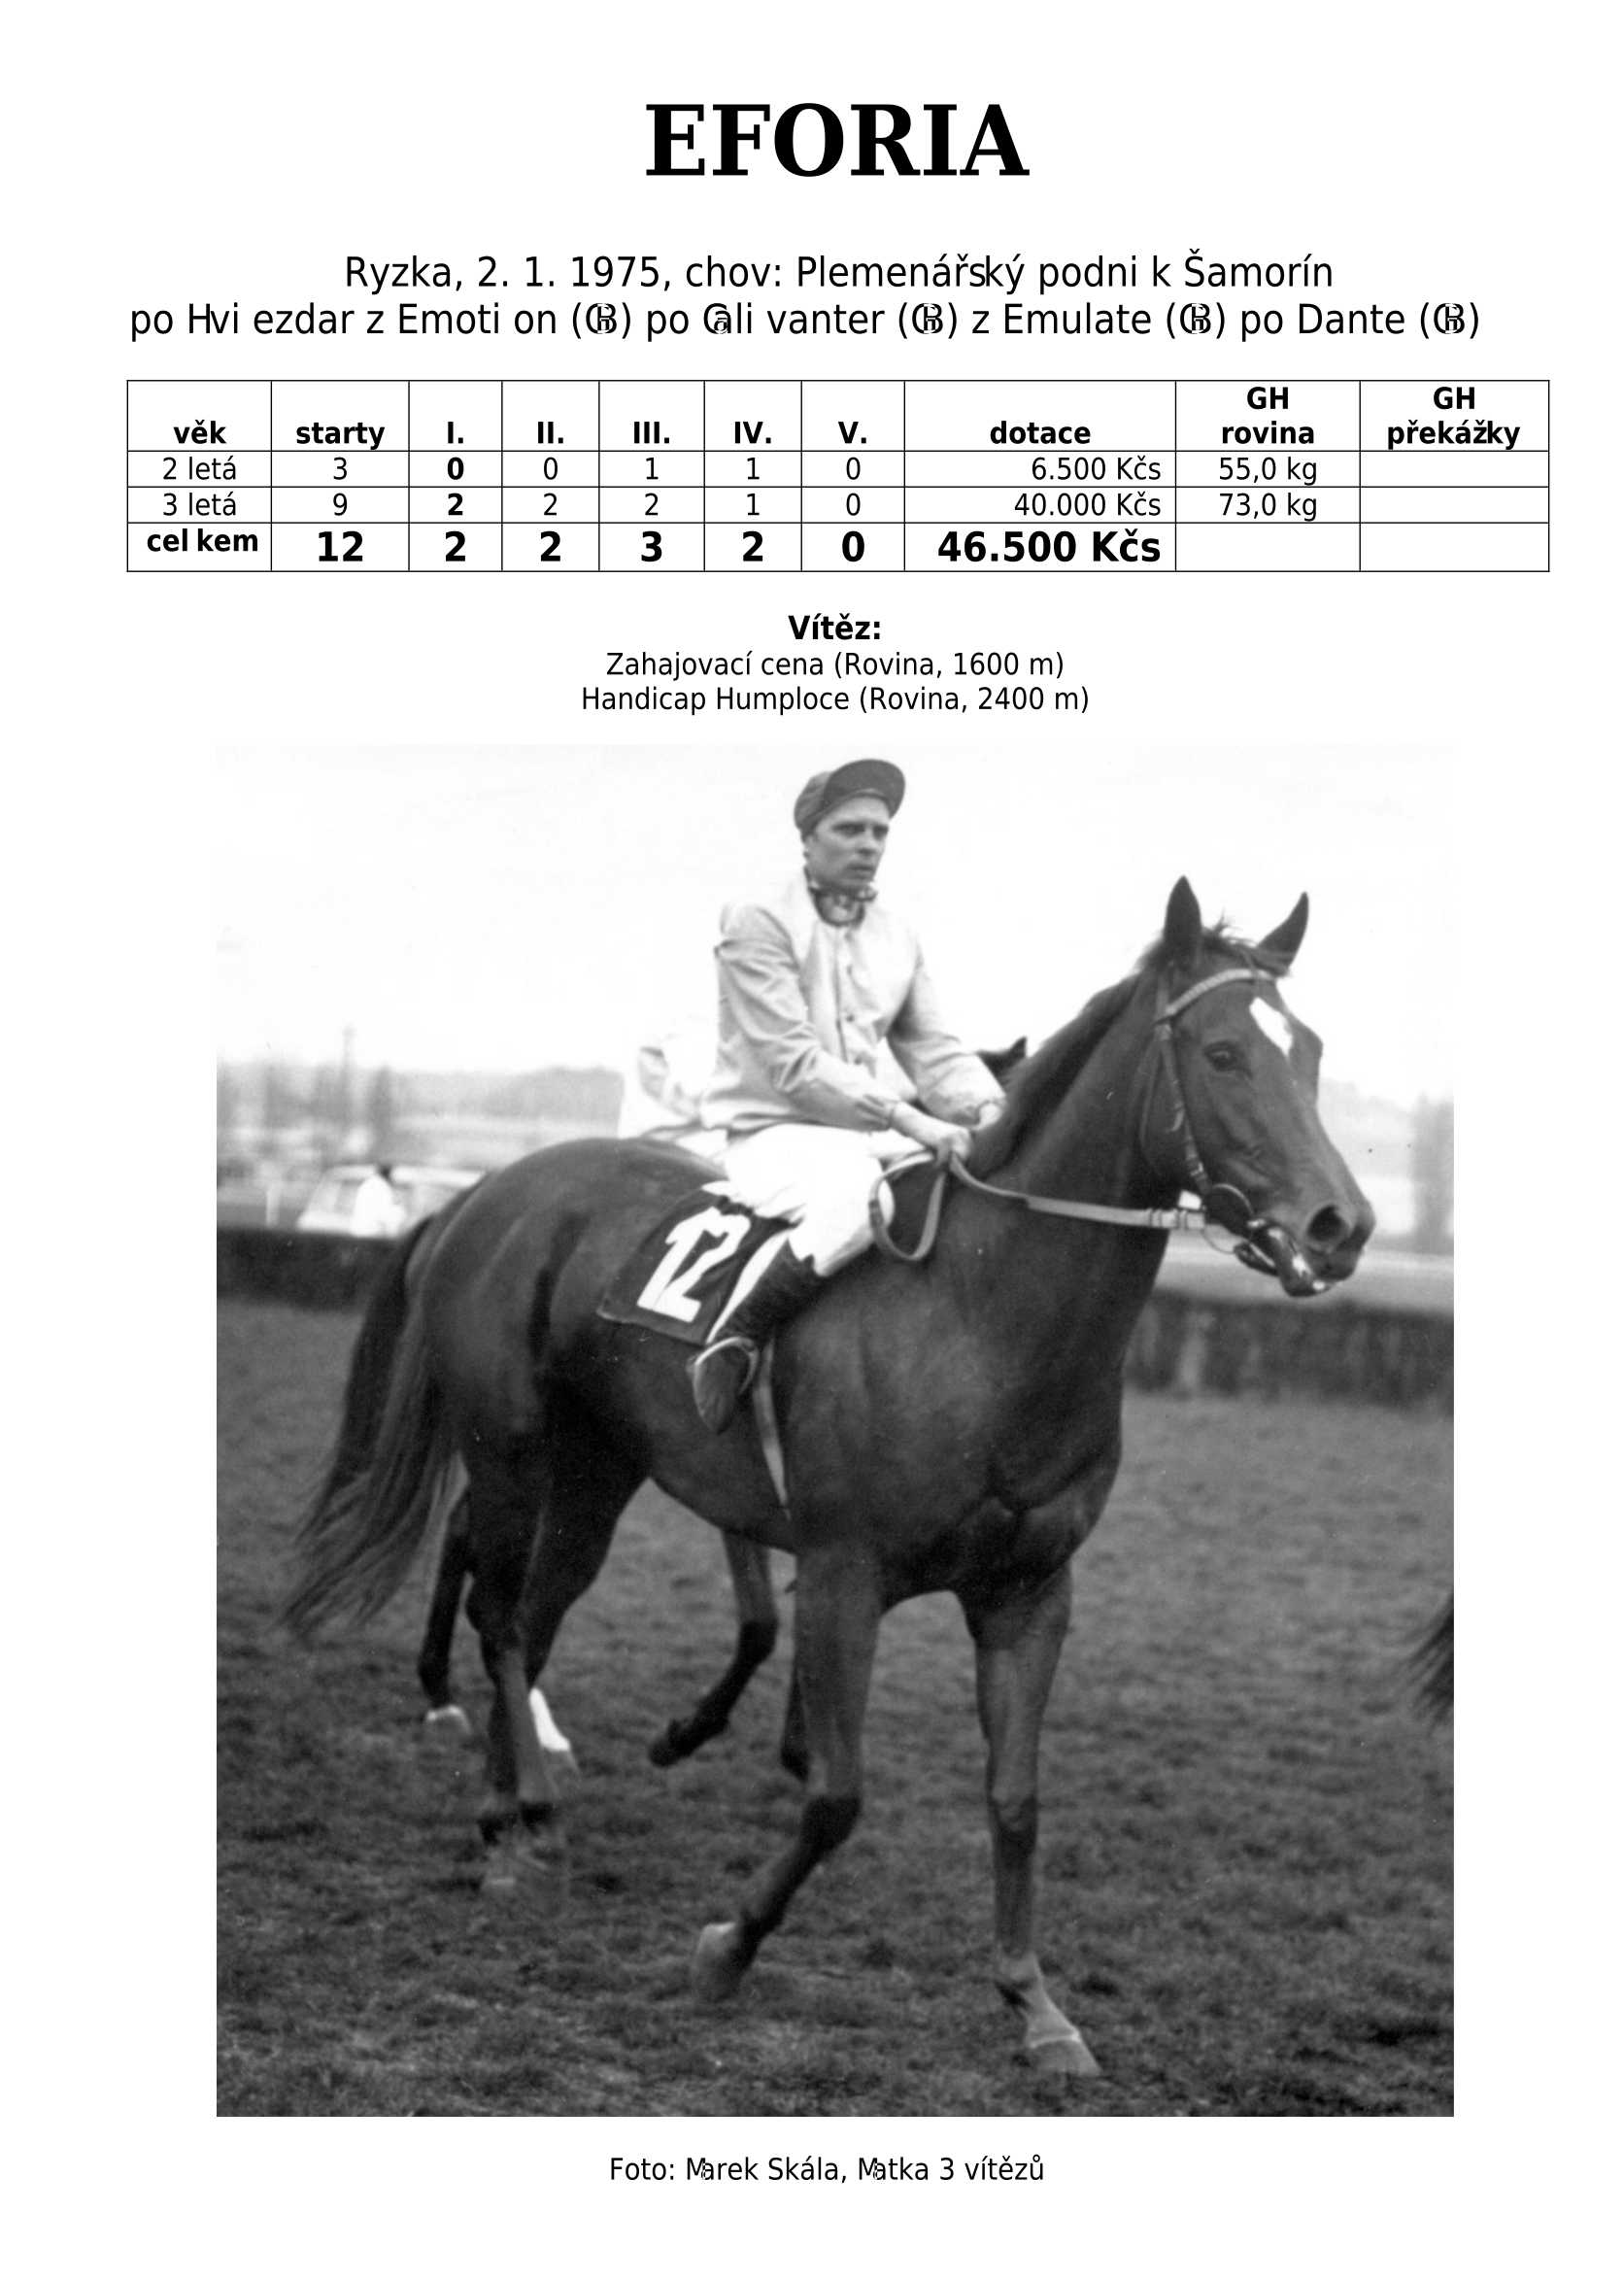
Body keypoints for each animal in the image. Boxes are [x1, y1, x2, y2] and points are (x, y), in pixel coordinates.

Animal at [285, 881, 1372, 2075]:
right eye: (1224, 1053)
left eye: (1310, 1051)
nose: (1342, 1224)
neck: (982, 1317)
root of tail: (486, 1191)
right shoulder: (847, 1569)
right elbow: (838, 1790)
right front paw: (727, 1944)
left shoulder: (1028, 1591)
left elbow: (1016, 1795)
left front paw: (1035, 2002)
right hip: (514, 1448)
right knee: (498, 1610)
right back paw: (521, 1807)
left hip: (596, 1473)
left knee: (529, 1612)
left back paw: (505, 1812)